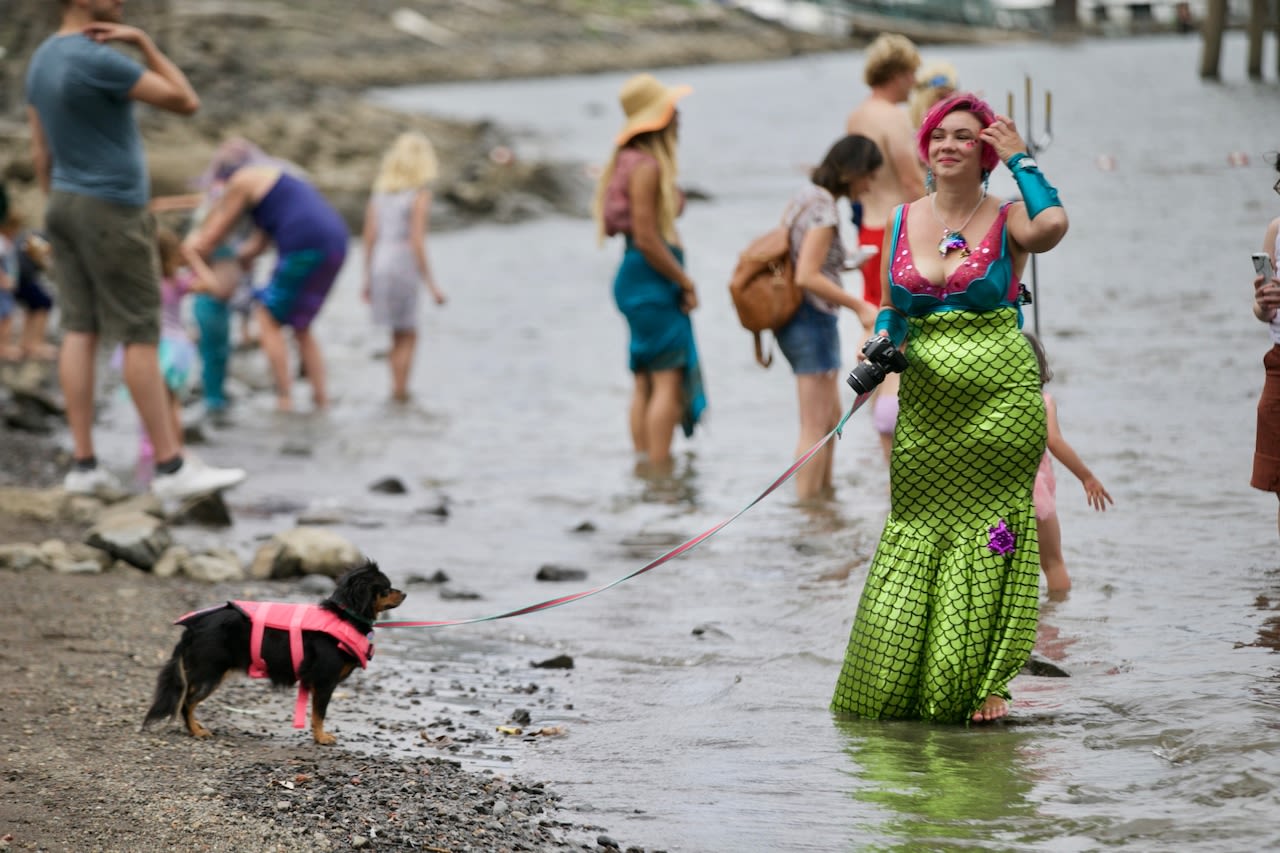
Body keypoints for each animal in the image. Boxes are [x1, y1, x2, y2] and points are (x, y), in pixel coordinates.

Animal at [144, 558, 404, 737]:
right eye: (387, 588)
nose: (404, 593)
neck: (346, 615)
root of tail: (193, 626)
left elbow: (316, 714)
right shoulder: (325, 682)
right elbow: (319, 714)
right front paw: (321, 738)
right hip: (210, 673)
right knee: (186, 702)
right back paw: (196, 731)